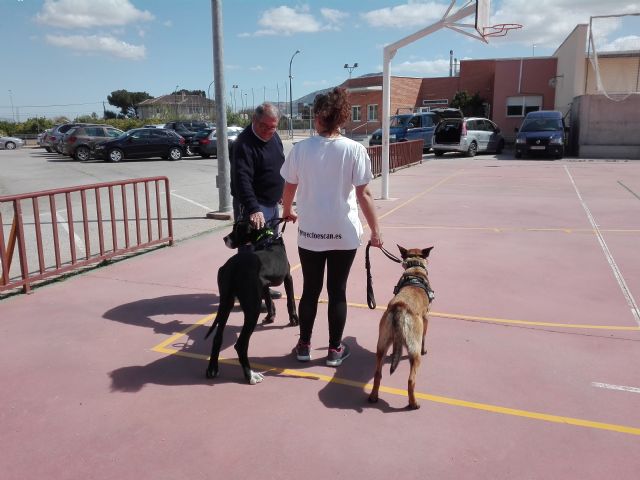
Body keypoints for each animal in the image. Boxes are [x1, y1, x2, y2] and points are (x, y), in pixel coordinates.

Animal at [204, 222, 298, 386]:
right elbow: (290, 300)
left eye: (237, 229)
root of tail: (232, 266)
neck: (266, 238)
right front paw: (293, 319)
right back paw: (250, 376)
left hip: (226, 303)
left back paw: (212, 368)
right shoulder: (288, 276)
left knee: (217, 337)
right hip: (252, 309)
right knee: (241, 344)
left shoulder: (264, 285)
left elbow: (269, 300)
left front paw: (270, 317)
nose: (225, 238)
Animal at [368, 248, 432, 408]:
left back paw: (373, 396)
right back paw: (413, 403)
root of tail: (400, 306)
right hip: (414, 352)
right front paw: (425, 350)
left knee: (377, 374)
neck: (415, 269)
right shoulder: (426, 319)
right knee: (411, 380)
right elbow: (424, 338)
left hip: (381, 345)